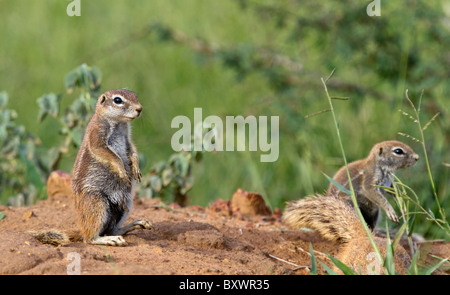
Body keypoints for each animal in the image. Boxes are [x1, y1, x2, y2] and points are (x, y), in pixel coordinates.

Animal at [33, 89, 152, 247]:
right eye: (118, 100)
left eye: (135, 95)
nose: (140, 109)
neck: (119, 124)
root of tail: (82, 230)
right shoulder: (97, 135)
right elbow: (110, 155)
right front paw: (122, 170)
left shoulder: (127, 138)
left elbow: (133, 150)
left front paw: (136, 169)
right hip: (96, 203)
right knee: (90, 238)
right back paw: (109, 239)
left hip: (126, 205)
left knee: (112, 229)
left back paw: (134, 224)